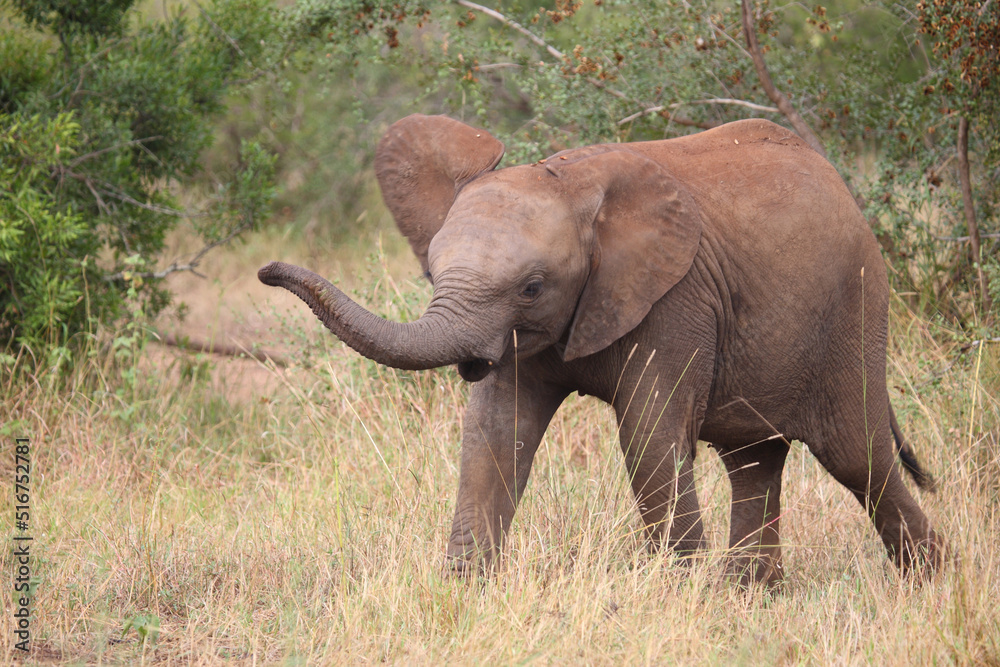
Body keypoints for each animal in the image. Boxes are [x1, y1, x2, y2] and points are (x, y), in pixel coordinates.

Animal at [259, 113, 942, 587]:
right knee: (754, 459)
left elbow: (648, 435)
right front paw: (462, 592)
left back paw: (931, 583)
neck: (572, 183)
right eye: (432, 270)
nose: (267, 271)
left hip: (855, 310)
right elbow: (494, 433)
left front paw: (678, 595)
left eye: (533, 287)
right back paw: (753, 595)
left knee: (859, 458)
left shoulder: (673, 299)